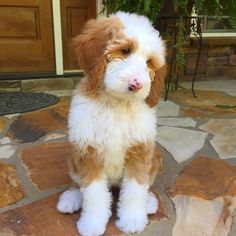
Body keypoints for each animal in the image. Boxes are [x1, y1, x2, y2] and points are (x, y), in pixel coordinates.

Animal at [57, 11, 166, 236]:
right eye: (125, 50)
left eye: (149, 62)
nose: (136, 84)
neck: (117, 104)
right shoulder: (88, 151)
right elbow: (93, 193)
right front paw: (92, 223)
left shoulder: (140, 150)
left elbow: (135, 189)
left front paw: (132, 219)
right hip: (73, 159)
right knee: (77, 183)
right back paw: (71, 198)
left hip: (155, 158)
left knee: (146, 186)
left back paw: (149, 202)